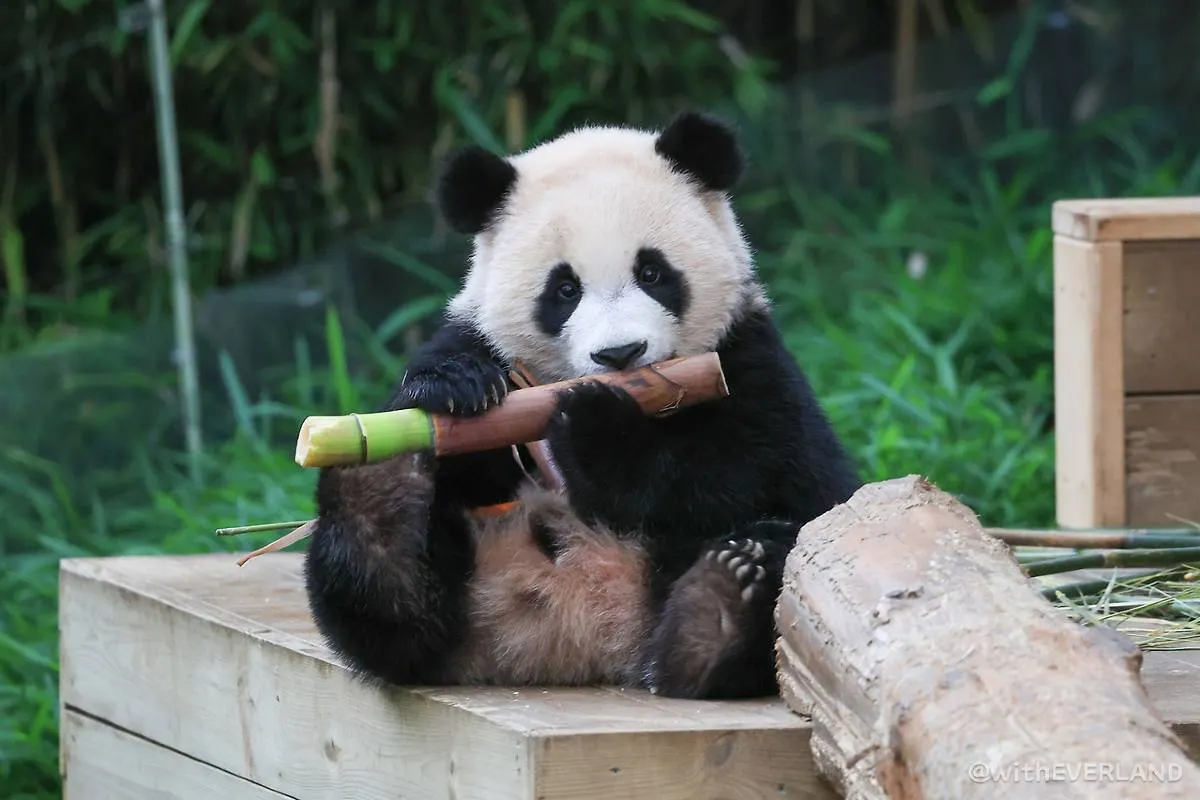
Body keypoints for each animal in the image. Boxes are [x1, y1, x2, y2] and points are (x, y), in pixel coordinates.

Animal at [303, 110, 862, 700]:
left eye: (652, 273)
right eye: (564, 289)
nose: (620, 353)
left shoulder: (748, 359)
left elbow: (744, 466)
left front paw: (595, 429)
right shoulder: (485, 346)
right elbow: (450, 404)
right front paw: (455, 385)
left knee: (780, 553)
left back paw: (715, 612)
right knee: (379, 610)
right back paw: (376, 497)